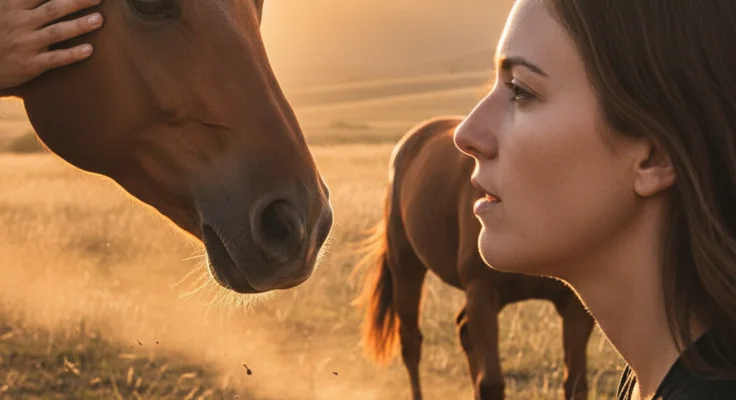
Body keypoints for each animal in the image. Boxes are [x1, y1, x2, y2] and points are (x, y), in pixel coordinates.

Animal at [353, 116, 595, 400]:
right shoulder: (482, 294)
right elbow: (491, 383)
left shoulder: (575, 308)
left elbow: (576, 384)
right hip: (406, 267)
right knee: (411, 344)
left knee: (463, 330)